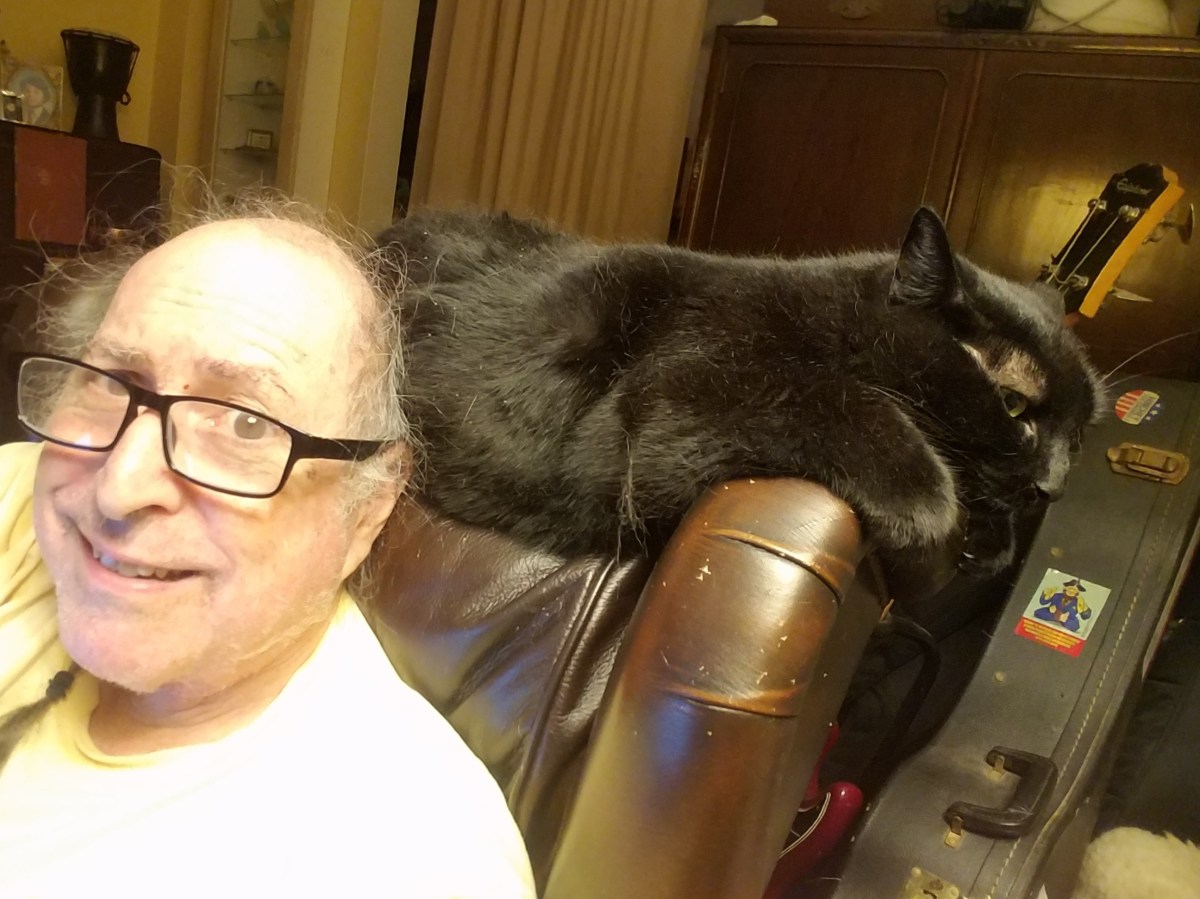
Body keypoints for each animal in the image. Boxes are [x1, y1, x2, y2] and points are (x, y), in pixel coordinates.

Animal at [377, 207, 1103, 573]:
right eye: (1014, 404)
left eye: (1079, 437)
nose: (1054, 487)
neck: (833, 322)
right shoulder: (666, 404)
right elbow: (831, 396)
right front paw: (925, 503)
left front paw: (993, 539)